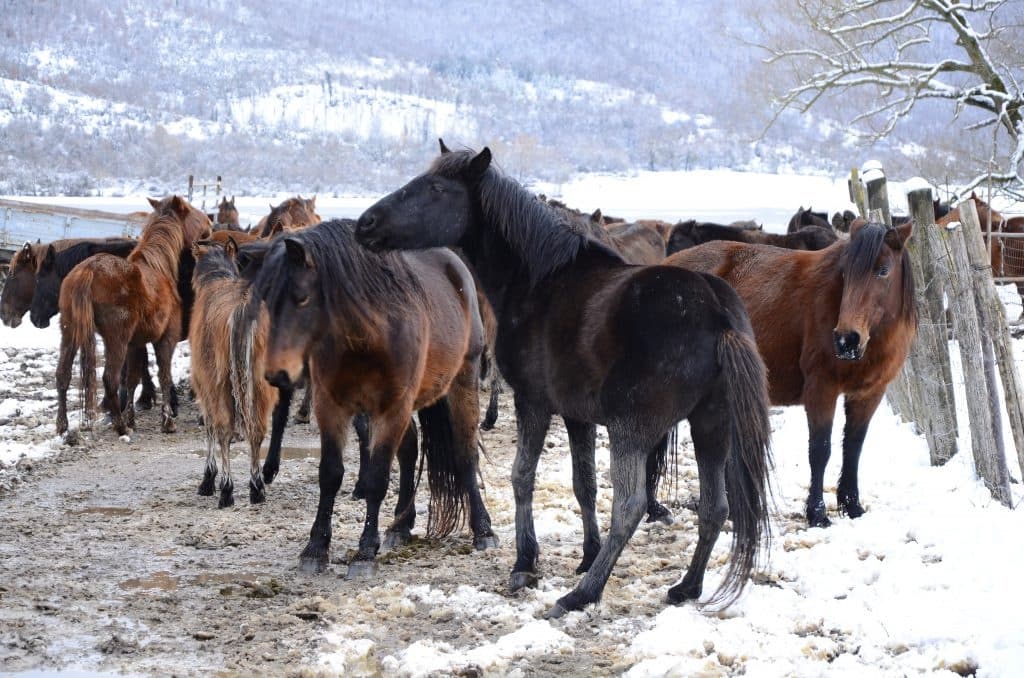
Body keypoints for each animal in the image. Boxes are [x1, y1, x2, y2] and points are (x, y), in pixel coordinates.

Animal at [55, 195, 211, 436]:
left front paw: (132, 418)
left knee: (63, 376)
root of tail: (87, 271)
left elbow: (132, 380)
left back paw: (63, 426)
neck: (159, 267)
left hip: (70, 332)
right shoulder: (165, 339)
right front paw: (167, 421)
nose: (210, 223)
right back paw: (120, 427)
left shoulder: (135, 343)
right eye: (190, 209)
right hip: (115, 340)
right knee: (109, 379)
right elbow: (164, 377)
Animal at [190, 238, 279, 508]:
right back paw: (257, 488)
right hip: (259, 383)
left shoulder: (204, 384)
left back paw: (226, 490)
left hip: (218, 381)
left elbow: (210, 426)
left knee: (223, 429)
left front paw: (208, 479)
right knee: (257, 429)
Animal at [247, 218, 497, 578]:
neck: (367, 339)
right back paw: (400, 526)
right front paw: (315, 549)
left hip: (461, 383)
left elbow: (377, 477)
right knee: (409, 453)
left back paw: (483, 530)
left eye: (302, 298)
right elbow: (330, 474)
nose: (276, 374)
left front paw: (365, 552)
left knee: (464, 453)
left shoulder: (391, 409)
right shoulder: (331, 407)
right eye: (266, 299)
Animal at [355, 143, 772, 617]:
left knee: (631, 507)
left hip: (634, 428)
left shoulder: (534, 402)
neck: (540, 281)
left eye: (436, 189)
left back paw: (583, 593)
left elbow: (523, 477)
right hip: (710, 426)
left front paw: (525, 562)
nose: (366, 223)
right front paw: (587, 554)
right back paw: (686, 586)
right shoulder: (578, 416)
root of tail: (717, 312)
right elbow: (583, 485)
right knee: (715, 507)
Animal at [665, 220, 917, 527]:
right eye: (845, 273)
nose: (846, 340)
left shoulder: (869, 394)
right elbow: (820, 450)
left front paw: (852, 506)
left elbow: (853, 448)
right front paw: (818, 514)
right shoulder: (821, 390)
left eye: (883, 270)